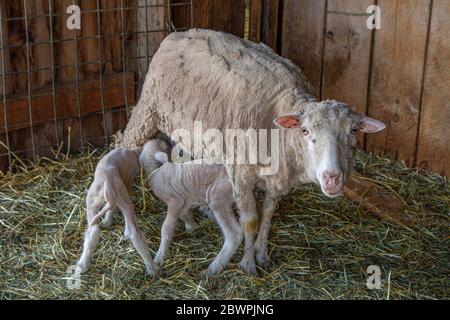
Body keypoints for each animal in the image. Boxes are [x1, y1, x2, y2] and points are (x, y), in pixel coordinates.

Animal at [77, 147, 160, 276]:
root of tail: (107, 180)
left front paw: (107, 221)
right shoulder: (128, 179)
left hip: (92, 201)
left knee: (93, 231)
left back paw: (82, 265)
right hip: (120, 194)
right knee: (134, 233)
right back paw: (153, 268)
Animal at [142, 139, 244, 274]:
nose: (170, 143)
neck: (154, 171)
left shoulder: (176, 201)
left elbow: (167, 227)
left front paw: (160, 256)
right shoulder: (184, 201)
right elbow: (185, 214)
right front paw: (192, 227)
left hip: (218, 196)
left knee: (234, 234)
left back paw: (213, 268)